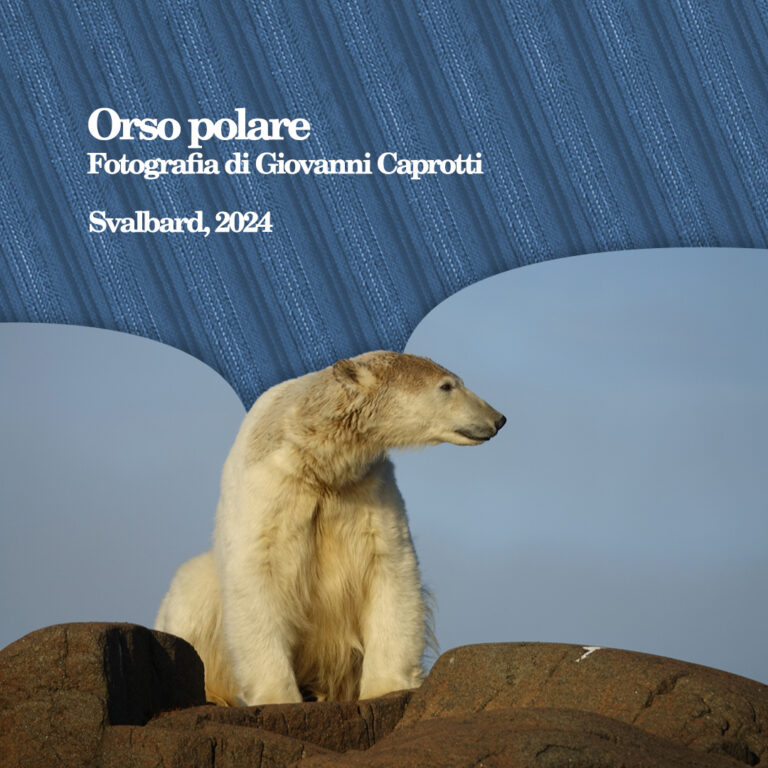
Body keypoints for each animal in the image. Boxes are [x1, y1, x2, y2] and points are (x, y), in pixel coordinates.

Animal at [155, 350, 505, 706]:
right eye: (447, 386)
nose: (498, 418)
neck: (317, 463)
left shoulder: (368, 489)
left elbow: (390, 568)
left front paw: (387, 684)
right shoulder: (269, 492)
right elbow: (258, 575)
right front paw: (277, 694)